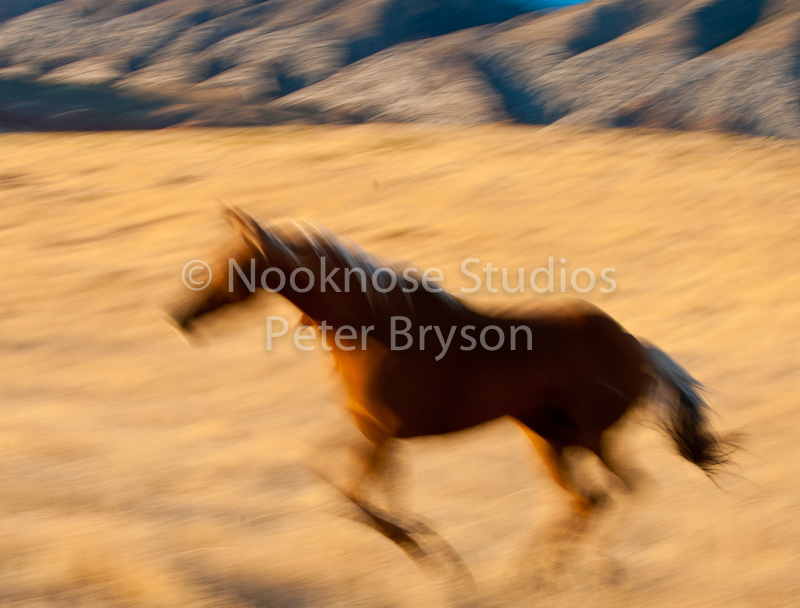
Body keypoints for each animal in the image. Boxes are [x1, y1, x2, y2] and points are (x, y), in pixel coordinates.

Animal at [168, 207, 729, 564]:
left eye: (235, 261)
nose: (181, 316)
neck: (370, 329)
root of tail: (636, 345)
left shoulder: (380, 433)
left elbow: (355, 497)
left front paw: (420, 549)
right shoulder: (372, 432)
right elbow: (336, 480)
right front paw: (425, 550)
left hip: (589, 436)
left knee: (621, 491)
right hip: (547, 437)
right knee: (589, 502)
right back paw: (537, 577)